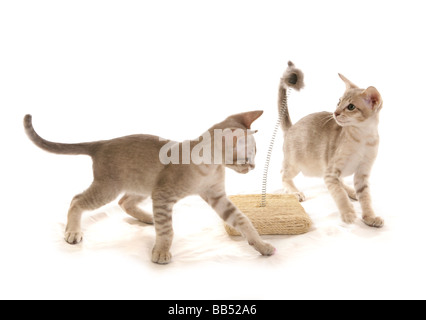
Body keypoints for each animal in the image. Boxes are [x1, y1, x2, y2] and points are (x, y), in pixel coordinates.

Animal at [24, 111, 276, 264]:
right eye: (248, 157)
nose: (253, 167)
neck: (210, 166)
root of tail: (102, 143)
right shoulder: (164, 196)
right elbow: (167, 230)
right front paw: (162, 252)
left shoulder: (217, 197)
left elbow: (243, 220)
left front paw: (262, 245)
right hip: (110, 188)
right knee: (77, 200)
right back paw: (73, 231)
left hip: (142, 188)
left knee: (124, 202)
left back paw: (148, 218)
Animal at [282, 61, 384, 228]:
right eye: (339, 102)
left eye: (351, 107)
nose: (335, 113)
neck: (363, 138)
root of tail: (291, 127)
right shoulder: (330, 172)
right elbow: (339, 194)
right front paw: (348, 213)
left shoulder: (362, 173)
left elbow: (366, 198)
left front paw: (370, 217)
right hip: (296, 164)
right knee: (283, 175)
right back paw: (295, 191)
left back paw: (352, 191)